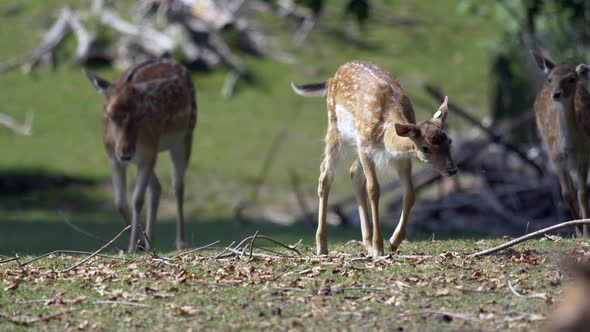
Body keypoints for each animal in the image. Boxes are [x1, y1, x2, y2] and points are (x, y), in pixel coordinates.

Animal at [84, 59, 198, 252]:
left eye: (140, 115)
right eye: (109, 114)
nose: (126, 153)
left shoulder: (148, 154)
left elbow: (137, 199)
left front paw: (132, 246)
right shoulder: (112, 157)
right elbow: (120, 202)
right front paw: (139, 244)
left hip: (186, 134)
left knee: (178, 185)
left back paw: (181, 242)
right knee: (157, 187)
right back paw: (150, 242)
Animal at [294, 60, 460, 256]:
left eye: (449, 141)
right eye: (425, 148)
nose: (452, 170)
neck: (385, 133)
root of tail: (332, 78)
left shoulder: (402, 158)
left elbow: (410, 193)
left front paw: (394, 242)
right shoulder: (365, 146)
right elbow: (374, 189)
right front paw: (379, 247)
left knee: (353, 171)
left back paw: (366, 244)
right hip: (335, 127)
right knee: (326, 174)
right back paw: (322, 246)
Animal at [532, 52, 590, 237]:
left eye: (572, 79)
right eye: (550, 79)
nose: (556, 94)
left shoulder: (584, 157)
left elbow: (582, 193)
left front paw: (586, 232)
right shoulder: (555, 159)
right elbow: (566, 194)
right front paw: (578, 230)